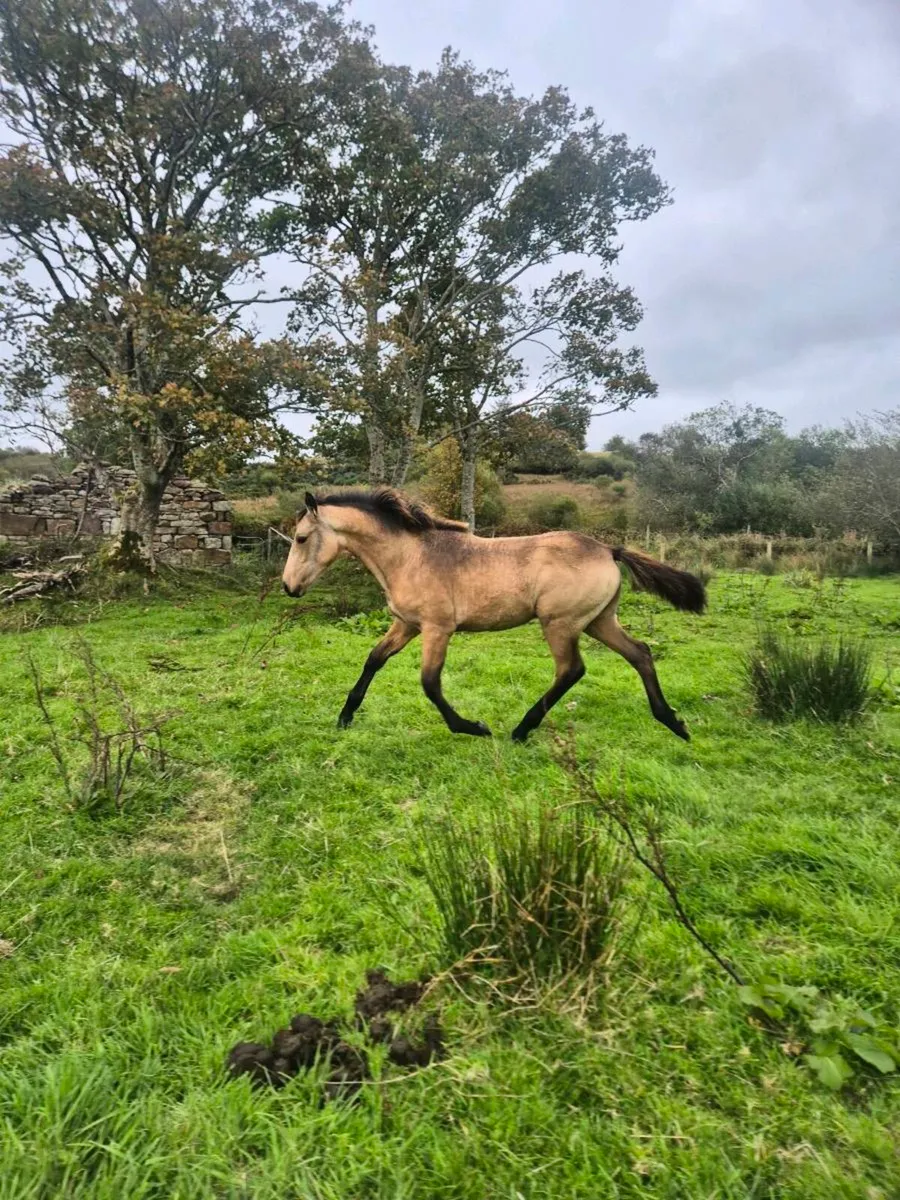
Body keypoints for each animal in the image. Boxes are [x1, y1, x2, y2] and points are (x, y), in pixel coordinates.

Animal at [282, 488, 706, 742]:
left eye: (301, 538)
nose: (288, 586)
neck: (410, 557)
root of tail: (608, 549)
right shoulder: (406, 624)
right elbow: (373, 660)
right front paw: (345, 716)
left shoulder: (438, 628)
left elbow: (430, 683)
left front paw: (473, 727)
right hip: (600, 621)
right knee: (641, 653)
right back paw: (674, 723)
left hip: (561, 624)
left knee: (572, 670)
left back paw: (520, 729)